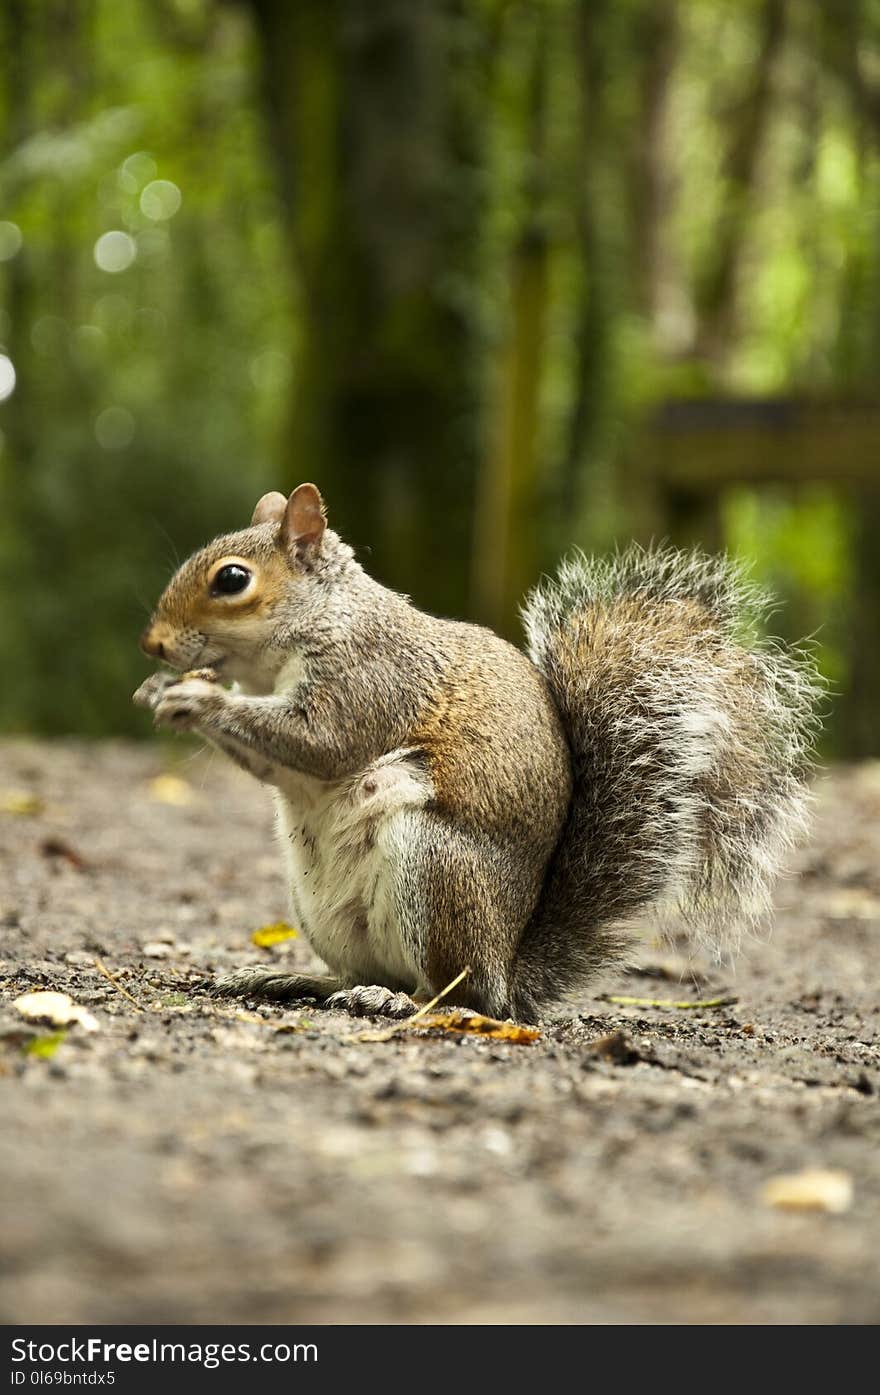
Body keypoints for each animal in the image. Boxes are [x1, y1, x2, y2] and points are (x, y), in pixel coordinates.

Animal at [134, 485, 825, 1021]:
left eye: (231, 580)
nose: (153, 645)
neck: (321, 621)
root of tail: (505, 971)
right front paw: (161, 691)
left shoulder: (373, 679)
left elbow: (322, 745)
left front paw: (196, 699)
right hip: (321, 909)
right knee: (370, 973)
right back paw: (292, 979)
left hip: (435, 870)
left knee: (450, 994)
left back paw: (398, 1003)